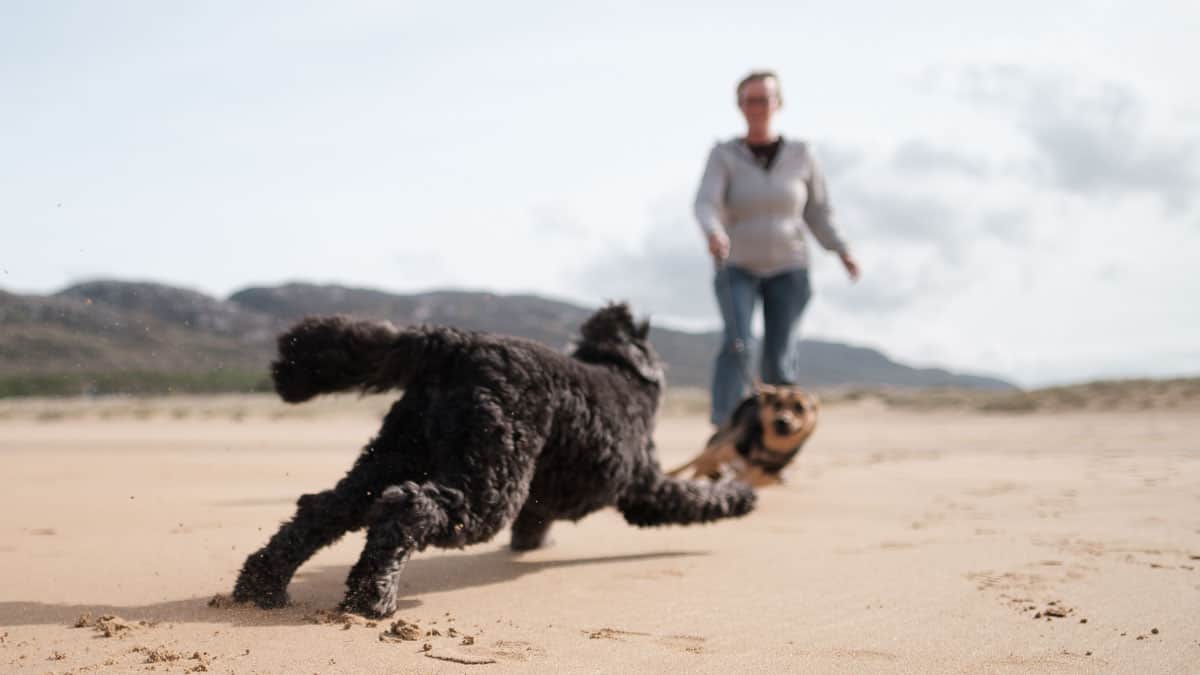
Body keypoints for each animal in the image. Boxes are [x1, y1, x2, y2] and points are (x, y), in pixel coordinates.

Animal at [232, 303, 753, 614]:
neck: (620, 372)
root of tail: (453, 344)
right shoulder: (646, 489)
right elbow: (698, 498)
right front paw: (742, 494)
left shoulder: (544, 496)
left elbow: (535, 521)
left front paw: (532, 544)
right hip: (488, 484)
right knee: (409, 506)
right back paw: (371, 596)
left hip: (395, 453)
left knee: (325, 508)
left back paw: (262, 584)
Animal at [672, 384, 820, 482]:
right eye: (777, 404)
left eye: (800, 407)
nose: (782, 421)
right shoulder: (716, 454)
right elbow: (696, 473)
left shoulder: (752, 474)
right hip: (721, 441)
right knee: (692, 463)